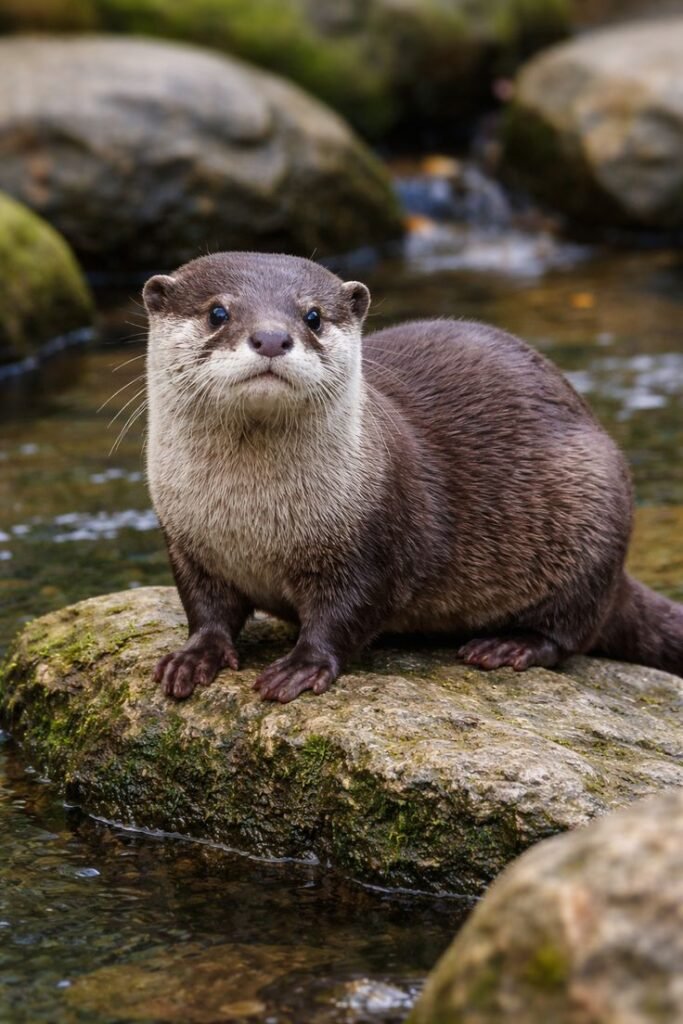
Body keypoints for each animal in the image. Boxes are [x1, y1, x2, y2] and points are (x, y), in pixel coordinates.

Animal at [143, 252, 683, 703]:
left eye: (312, 316)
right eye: (218, 312)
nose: (273, 337)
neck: (250, 519)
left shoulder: (375, 543)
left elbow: (345, 614)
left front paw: (301, 666)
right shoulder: (185, 538)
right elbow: (206, 610)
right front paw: (193, 658)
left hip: (594, 505)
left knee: (572, 629)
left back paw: (509, 646)